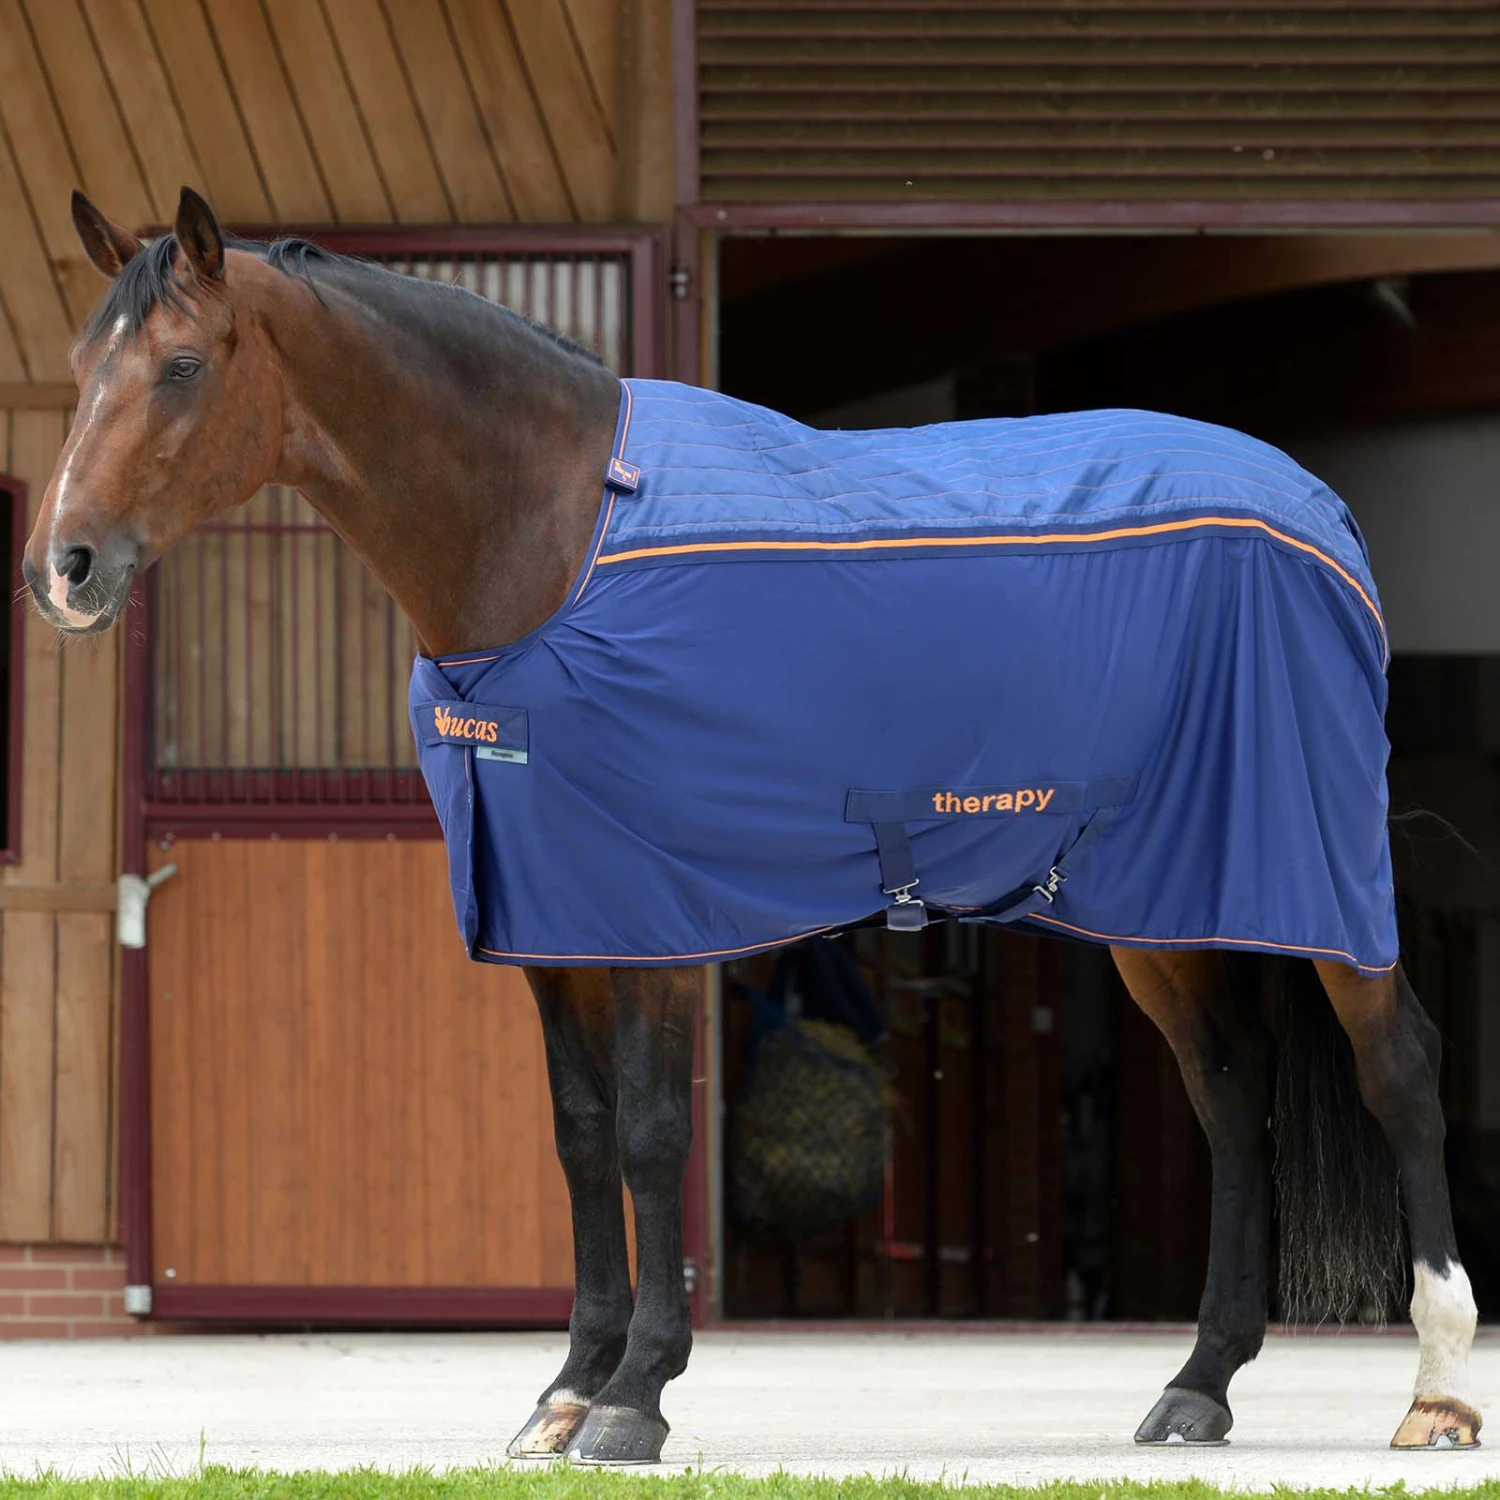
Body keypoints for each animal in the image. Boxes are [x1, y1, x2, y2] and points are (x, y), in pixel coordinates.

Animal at [24, 185, 1479, 1464]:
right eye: (81, 365)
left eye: (183, 364)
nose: (65, 570)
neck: (552, 531)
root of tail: (1319, 511)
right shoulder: (552, 918)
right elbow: (581, 1137)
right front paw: (567, 1391)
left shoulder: (660, 918)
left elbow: (653, 1136)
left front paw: (636, 1400)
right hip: (1162, 907)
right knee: (1233, 1101)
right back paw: (1199, 1385)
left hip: (1316, 880)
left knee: (1398, 1069)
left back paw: (1438, 1392)